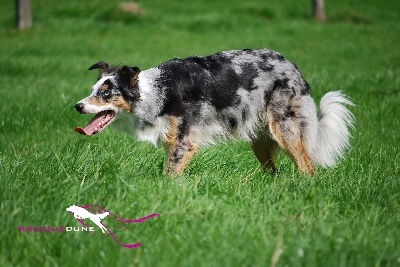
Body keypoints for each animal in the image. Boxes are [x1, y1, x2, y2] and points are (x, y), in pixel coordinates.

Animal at [75, 49, 354, 177]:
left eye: (107, 94)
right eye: (93, 91)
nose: (77, 106)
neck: (155, 93)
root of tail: (292, 66)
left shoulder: (182, 142)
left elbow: (168, 176)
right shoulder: (172, 142)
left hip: (285, 130)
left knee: (307, 169)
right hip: (259, 139)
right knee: (272, 171)